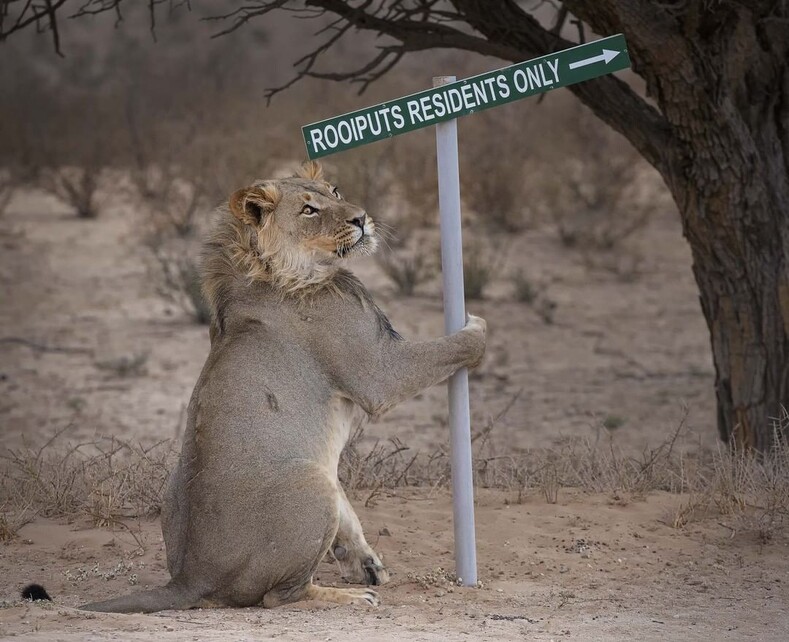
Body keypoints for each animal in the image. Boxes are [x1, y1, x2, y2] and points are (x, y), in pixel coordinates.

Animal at [80, 160, 486, 608]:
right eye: (309, 210)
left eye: (335, 191)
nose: (362, 218)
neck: (288, 271)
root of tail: (189, 578)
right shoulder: (380, 371)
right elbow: (455, 346)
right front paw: (478, 326)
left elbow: (349, 514)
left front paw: (366, 563)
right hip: (310, 483)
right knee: (283, 595)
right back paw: (348, 598)